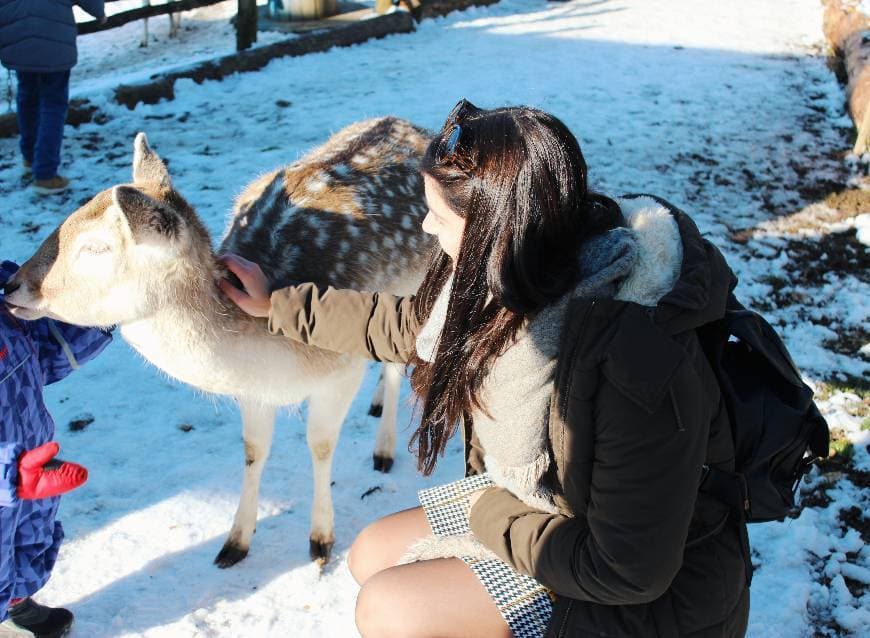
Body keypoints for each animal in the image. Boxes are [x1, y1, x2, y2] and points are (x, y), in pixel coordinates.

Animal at [3, 119, 432, 568]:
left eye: (95, 248)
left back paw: (384, 449)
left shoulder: (341, 370)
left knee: (395, 361)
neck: (275, 359)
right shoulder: (254, 392)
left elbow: (320, 446)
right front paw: (235, 543)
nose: (12, 285)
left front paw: (321, 541)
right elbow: (254, 450)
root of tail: (408, 125)